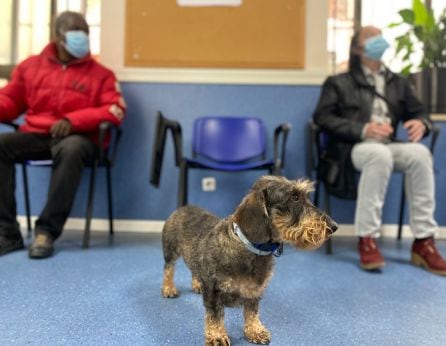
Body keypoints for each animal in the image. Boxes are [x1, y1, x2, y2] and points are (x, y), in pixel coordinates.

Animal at [162, 177, 336, 344]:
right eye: (294, 197)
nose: (334, 227)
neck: (251, 249)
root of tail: (184, 207)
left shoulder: (254, 290)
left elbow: (252, 312)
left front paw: (255, 331)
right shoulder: (213, 291)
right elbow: (215, 317)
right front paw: (217, 336)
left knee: (193, 269)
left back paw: (197, 284)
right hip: (171, 250)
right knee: (168, 269)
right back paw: (168, 288)